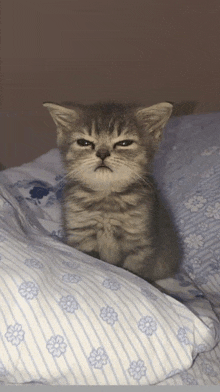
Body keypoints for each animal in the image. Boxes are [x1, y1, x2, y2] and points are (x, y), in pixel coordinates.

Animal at [43, 101, 179, 282]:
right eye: (84, 142)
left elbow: (134, 272)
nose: (102, 153)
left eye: (124, 143)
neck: (106, 198)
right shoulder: (81, 234)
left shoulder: (139, 241)